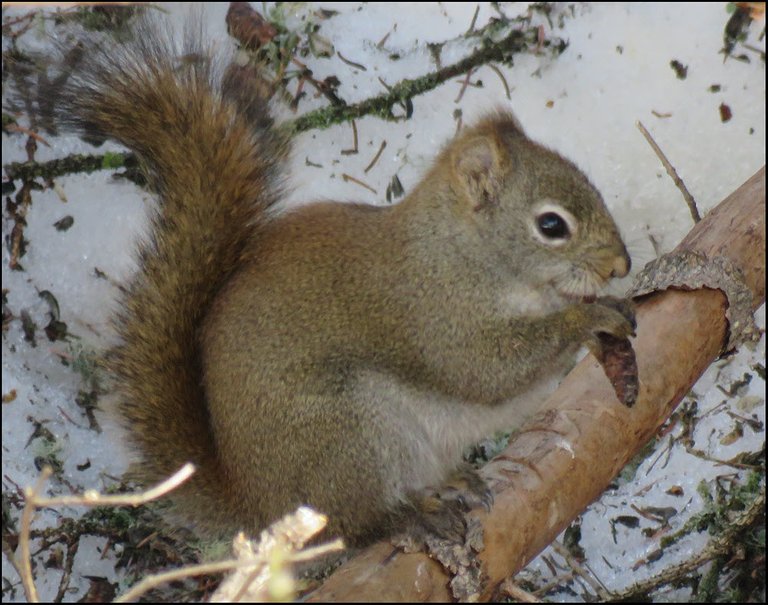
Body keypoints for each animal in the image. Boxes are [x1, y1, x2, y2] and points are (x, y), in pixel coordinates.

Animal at [51, 16, 632, 544]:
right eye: (551, 225)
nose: (620, 266)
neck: (462, 254)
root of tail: (256, 501)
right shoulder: (433, 315)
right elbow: (487, 370)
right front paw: (589, 316)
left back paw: (449, 484)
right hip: (348, 432)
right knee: (352, 526)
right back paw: (407, 520)